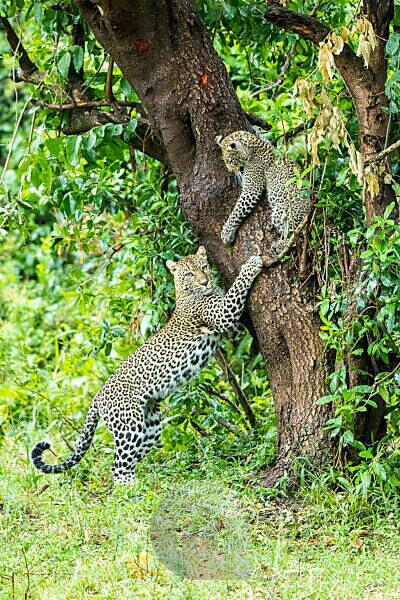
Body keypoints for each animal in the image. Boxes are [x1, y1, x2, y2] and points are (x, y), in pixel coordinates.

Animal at [31, 246, 262, 486]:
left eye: (204, 267)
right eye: (190, 274)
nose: (205, 281)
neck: (185, 294)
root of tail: (97, 397)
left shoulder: (230, 330)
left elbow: (237, 325)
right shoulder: (222, 314)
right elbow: (235, 290)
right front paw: (252, 264)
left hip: (149, 428)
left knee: (128, 461)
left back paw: (138, 485)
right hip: (129, 426)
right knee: (117, 466)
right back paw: (131, 490)